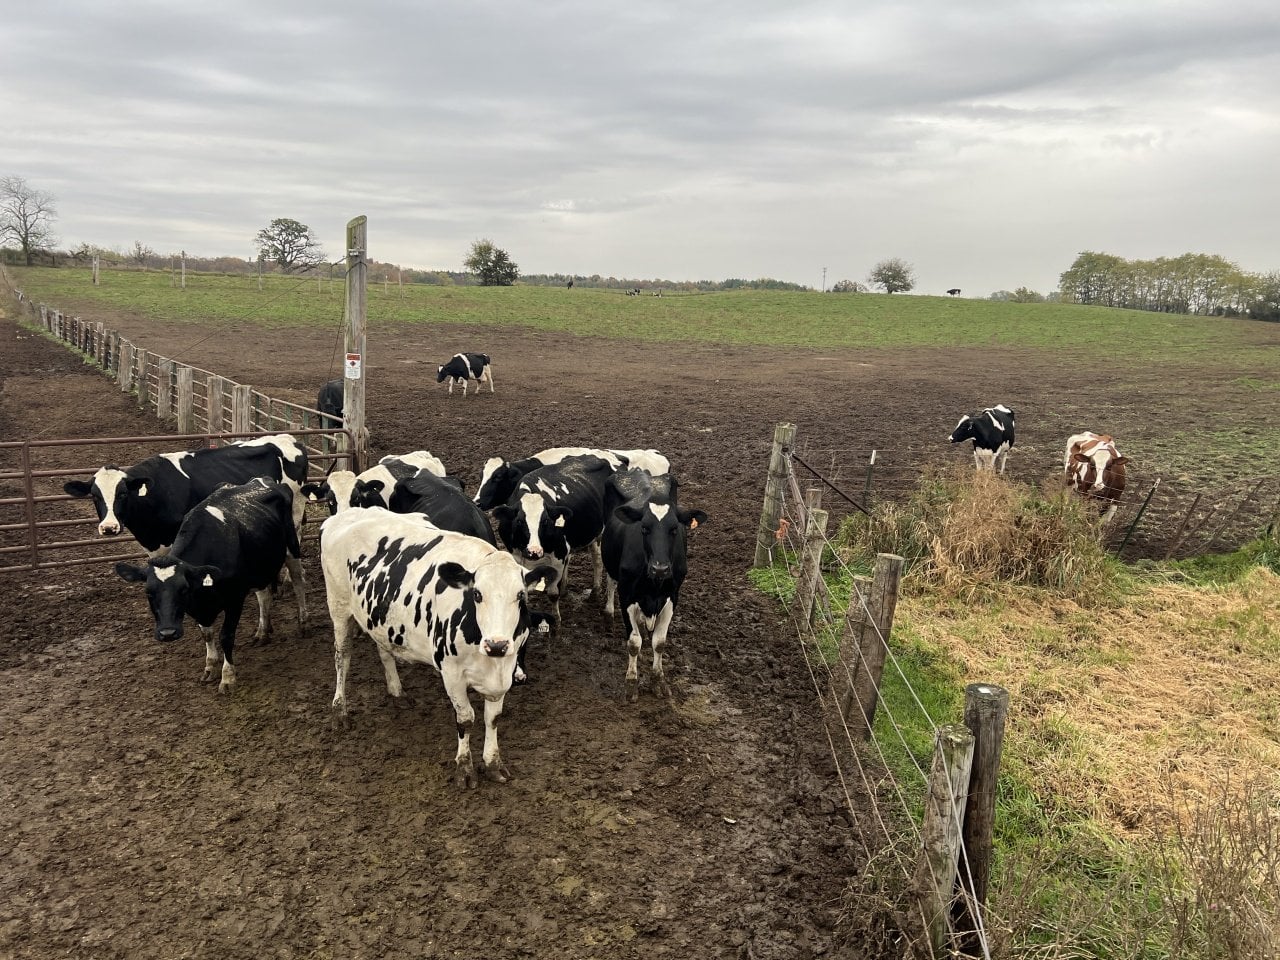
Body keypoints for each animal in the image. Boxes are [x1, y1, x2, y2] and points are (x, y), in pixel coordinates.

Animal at [64, 434, 309, 555]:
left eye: (123, 494)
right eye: (95, 496)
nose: (109, 528)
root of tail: (289, 438)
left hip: (296, 506)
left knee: (296, 532)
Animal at [114, 479, 307, 693]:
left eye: (183, 589)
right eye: (148, 592)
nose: (167, 633)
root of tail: (263, 480)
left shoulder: (234, 599)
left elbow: (226, 636)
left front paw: (228, 677)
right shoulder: (199, 607)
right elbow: (206, 634)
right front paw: (210, 667)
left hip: (291, 546)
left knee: (298, 581)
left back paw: (303, 622)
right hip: (260, 564)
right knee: (264, 595)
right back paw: (262, 632)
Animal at [319, 508, 556, 788]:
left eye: (521, 596)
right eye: (477, 594)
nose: (496, 644)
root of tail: (345, 514)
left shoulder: (502, 674)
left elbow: (493, 718)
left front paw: (493, 764)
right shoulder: (451, 673)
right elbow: (466, 720)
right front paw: (465, 769)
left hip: (378, 616)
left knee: (383, 649)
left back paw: (397, 692)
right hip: (339, 607)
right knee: (342, 657)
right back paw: (339, 711)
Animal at [601, 469, 707, 702]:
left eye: (674, 529)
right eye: (644, 528)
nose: (660, 569)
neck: (653, 585)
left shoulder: (672, 596)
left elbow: (659, 642)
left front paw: (658, 681)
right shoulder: (626, 595)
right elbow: (634, 643)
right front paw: (631, 683)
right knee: (610, 581)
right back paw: (608, 613)